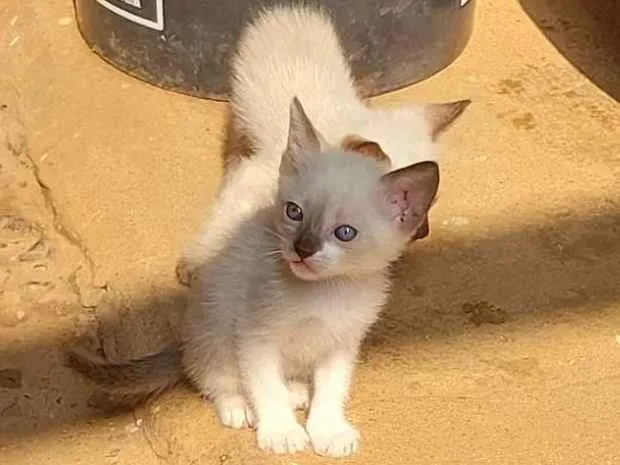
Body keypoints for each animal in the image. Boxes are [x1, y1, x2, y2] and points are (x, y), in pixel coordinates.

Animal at [68, 96, 440, 454]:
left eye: (345, 233)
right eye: (294, 211)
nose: (303, 248)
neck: (323, 294)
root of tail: (184, 339)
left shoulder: (342, 342)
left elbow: (332, 390)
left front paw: (328, 431)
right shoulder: (255, 337)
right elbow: (264, 386)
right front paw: (281, 433)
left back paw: (296, 390)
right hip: (212, 329)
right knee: (212, 377)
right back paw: (239, 406)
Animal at [176, 5, 470, 284]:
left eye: (424, 202)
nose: (424, 232)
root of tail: (289, 9)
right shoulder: (256, 179)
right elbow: (226, 221)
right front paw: (198, 264)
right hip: (242, 119)